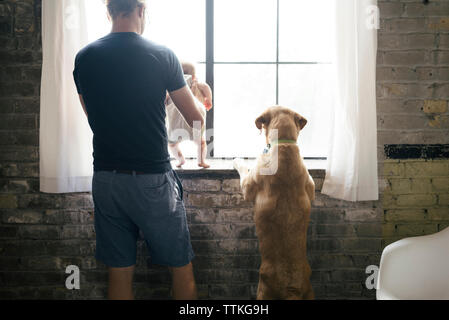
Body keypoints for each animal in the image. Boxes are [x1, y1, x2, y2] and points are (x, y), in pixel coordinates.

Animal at [233, 107, 314, 300]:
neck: (283, 144)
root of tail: (291, 289)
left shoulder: (247, 186)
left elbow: (243, 169)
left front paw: (238, 160)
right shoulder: (311, 186)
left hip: (263, 291)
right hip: (310, 292)